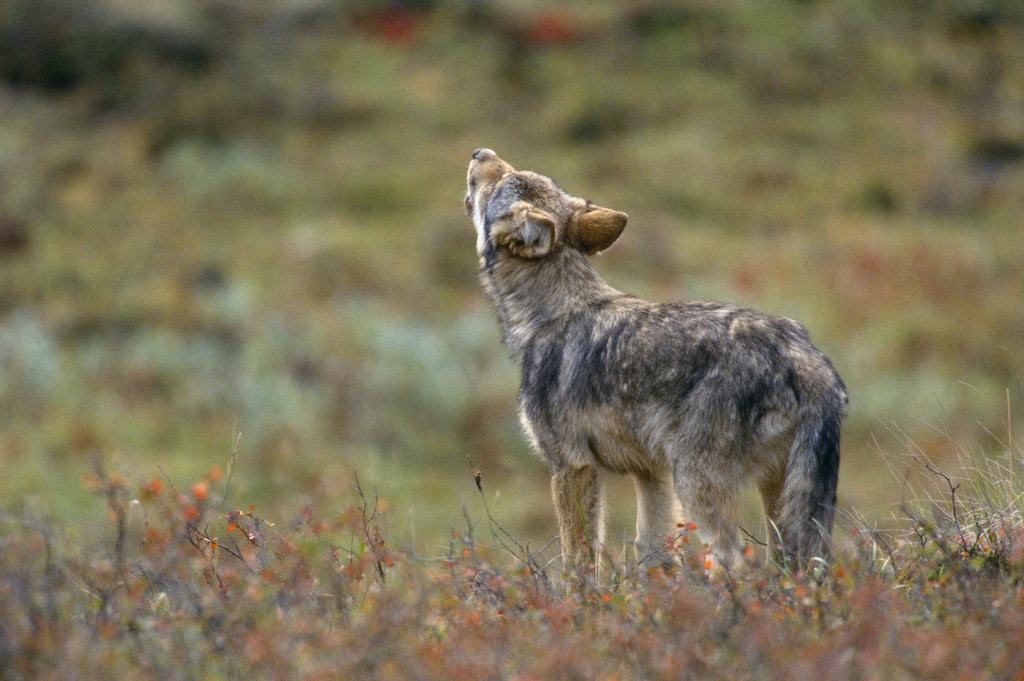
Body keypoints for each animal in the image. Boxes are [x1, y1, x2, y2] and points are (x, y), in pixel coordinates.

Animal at [464, 148, 847, 572]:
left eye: (500, 179)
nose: (480, 152)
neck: (551, 314)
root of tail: (800, 352)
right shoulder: (651, 474)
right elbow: (652, 557)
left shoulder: (571, 467)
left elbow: (577, 565)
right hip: (779, 501)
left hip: (699, 486)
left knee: (737, 566)